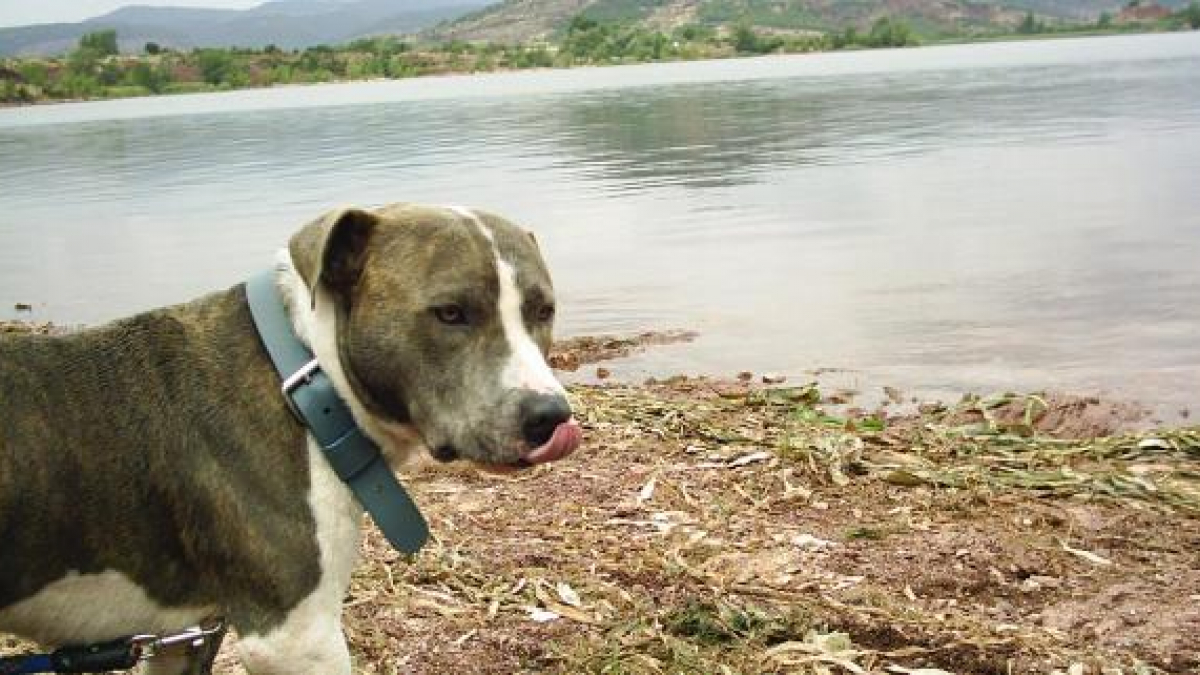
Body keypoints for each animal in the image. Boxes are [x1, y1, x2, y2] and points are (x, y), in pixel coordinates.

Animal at [0, 201, 580, 667]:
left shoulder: (185, 638)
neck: (306, 379)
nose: (550, 416)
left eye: (544, 310)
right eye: (451, 313)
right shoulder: (296, 638)